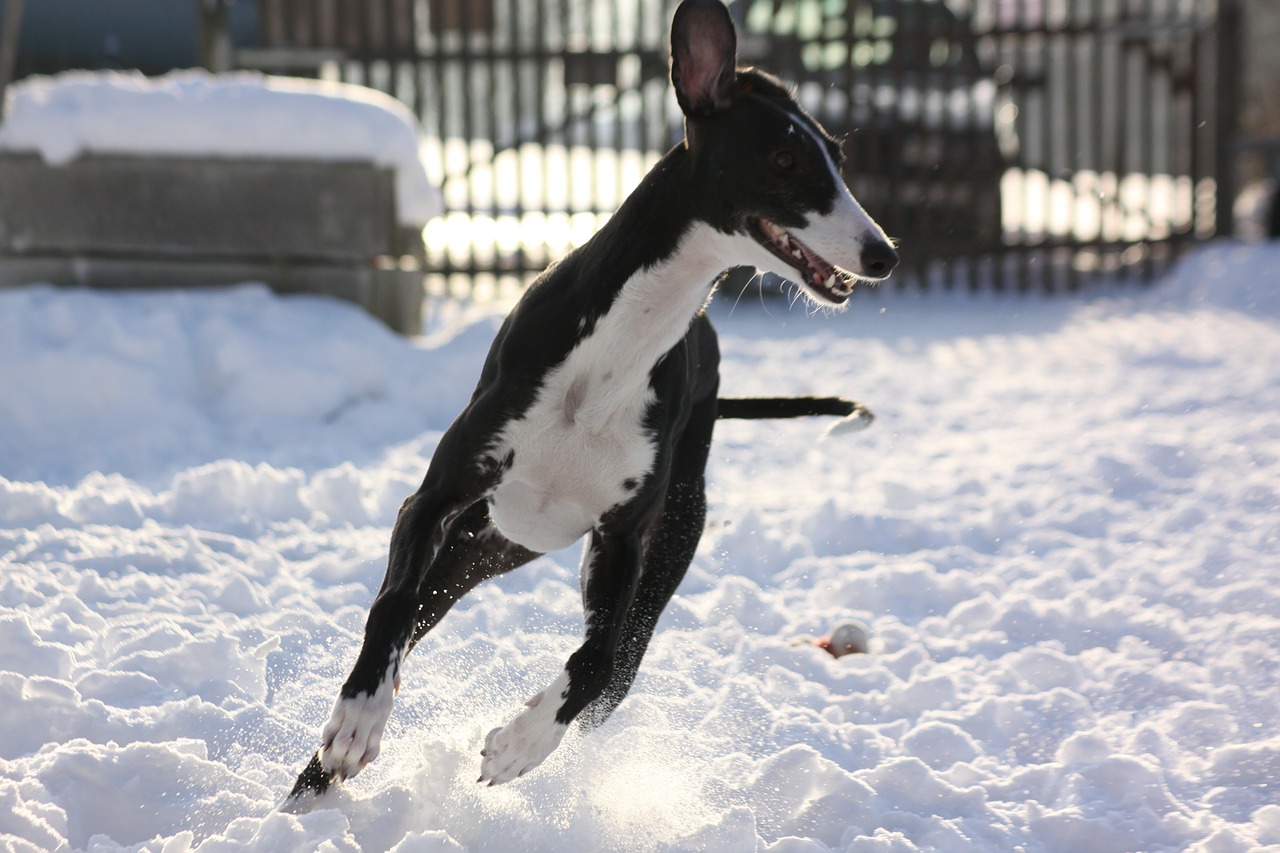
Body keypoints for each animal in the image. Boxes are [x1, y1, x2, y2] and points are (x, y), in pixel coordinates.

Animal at [285, 0, 896, 799]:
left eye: (838, 159)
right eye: (785, 160)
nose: (885, 254)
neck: (615, 352)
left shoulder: (622, 546)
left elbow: (597, 660)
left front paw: (523, 742)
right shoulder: (434, 502)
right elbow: (389, 611)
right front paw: (357, 721)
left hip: (652, 540)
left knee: (618, 671)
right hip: (473, 545)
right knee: (413, 615)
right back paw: (311, 783)